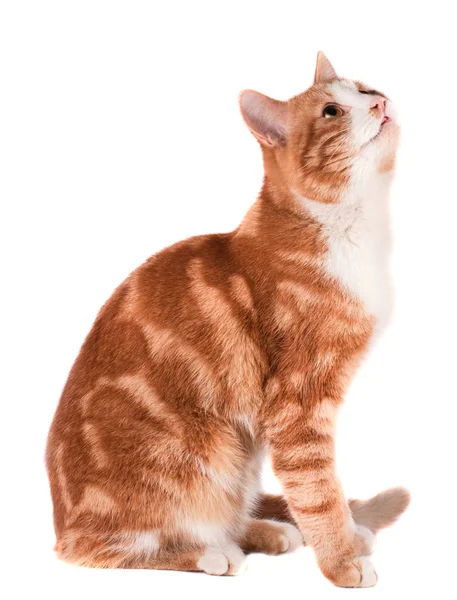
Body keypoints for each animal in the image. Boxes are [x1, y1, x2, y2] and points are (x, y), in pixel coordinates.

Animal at [46, 54, 410, 588]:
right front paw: (341, 561)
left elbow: (321, 494)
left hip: (240, 459)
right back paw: (210, 554)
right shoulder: (297, 403)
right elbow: (318, 490)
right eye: (331, 111)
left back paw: (265, 532)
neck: (348, 226)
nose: (380, 103)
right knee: (97, 548)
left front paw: (346, 537)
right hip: (201, 456)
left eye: (366, 88)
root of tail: (61, 520)